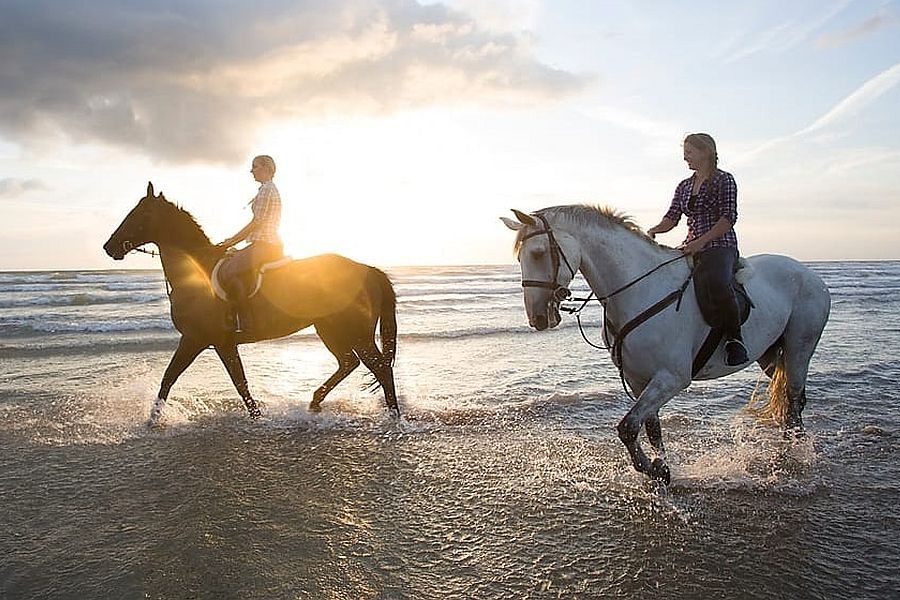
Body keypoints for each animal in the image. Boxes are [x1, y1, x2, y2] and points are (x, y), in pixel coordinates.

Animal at [103, 182, 398, 422]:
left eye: (138, 215)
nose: (109, 247)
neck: (196, 275)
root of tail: (367, 269)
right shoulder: (204, 341)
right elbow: (177, 379)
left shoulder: (205, 340)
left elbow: (228, 381)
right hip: (329, 329)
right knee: (349, 363)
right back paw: (315, 402)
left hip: (356, 332)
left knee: (380, 368)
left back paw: (394, 417)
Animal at [500, 205, 828, 482]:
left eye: (538, 253)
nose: (537, 318)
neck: (639, 290)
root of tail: (811, 275)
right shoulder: (639, 380)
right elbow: (650, 427)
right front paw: (661, 468)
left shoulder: (672, 378)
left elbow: (627, 427)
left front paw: (651, 468)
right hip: (770, 355)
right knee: (787, 398)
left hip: (799, 347)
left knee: (793, 398)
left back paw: (794, 453)